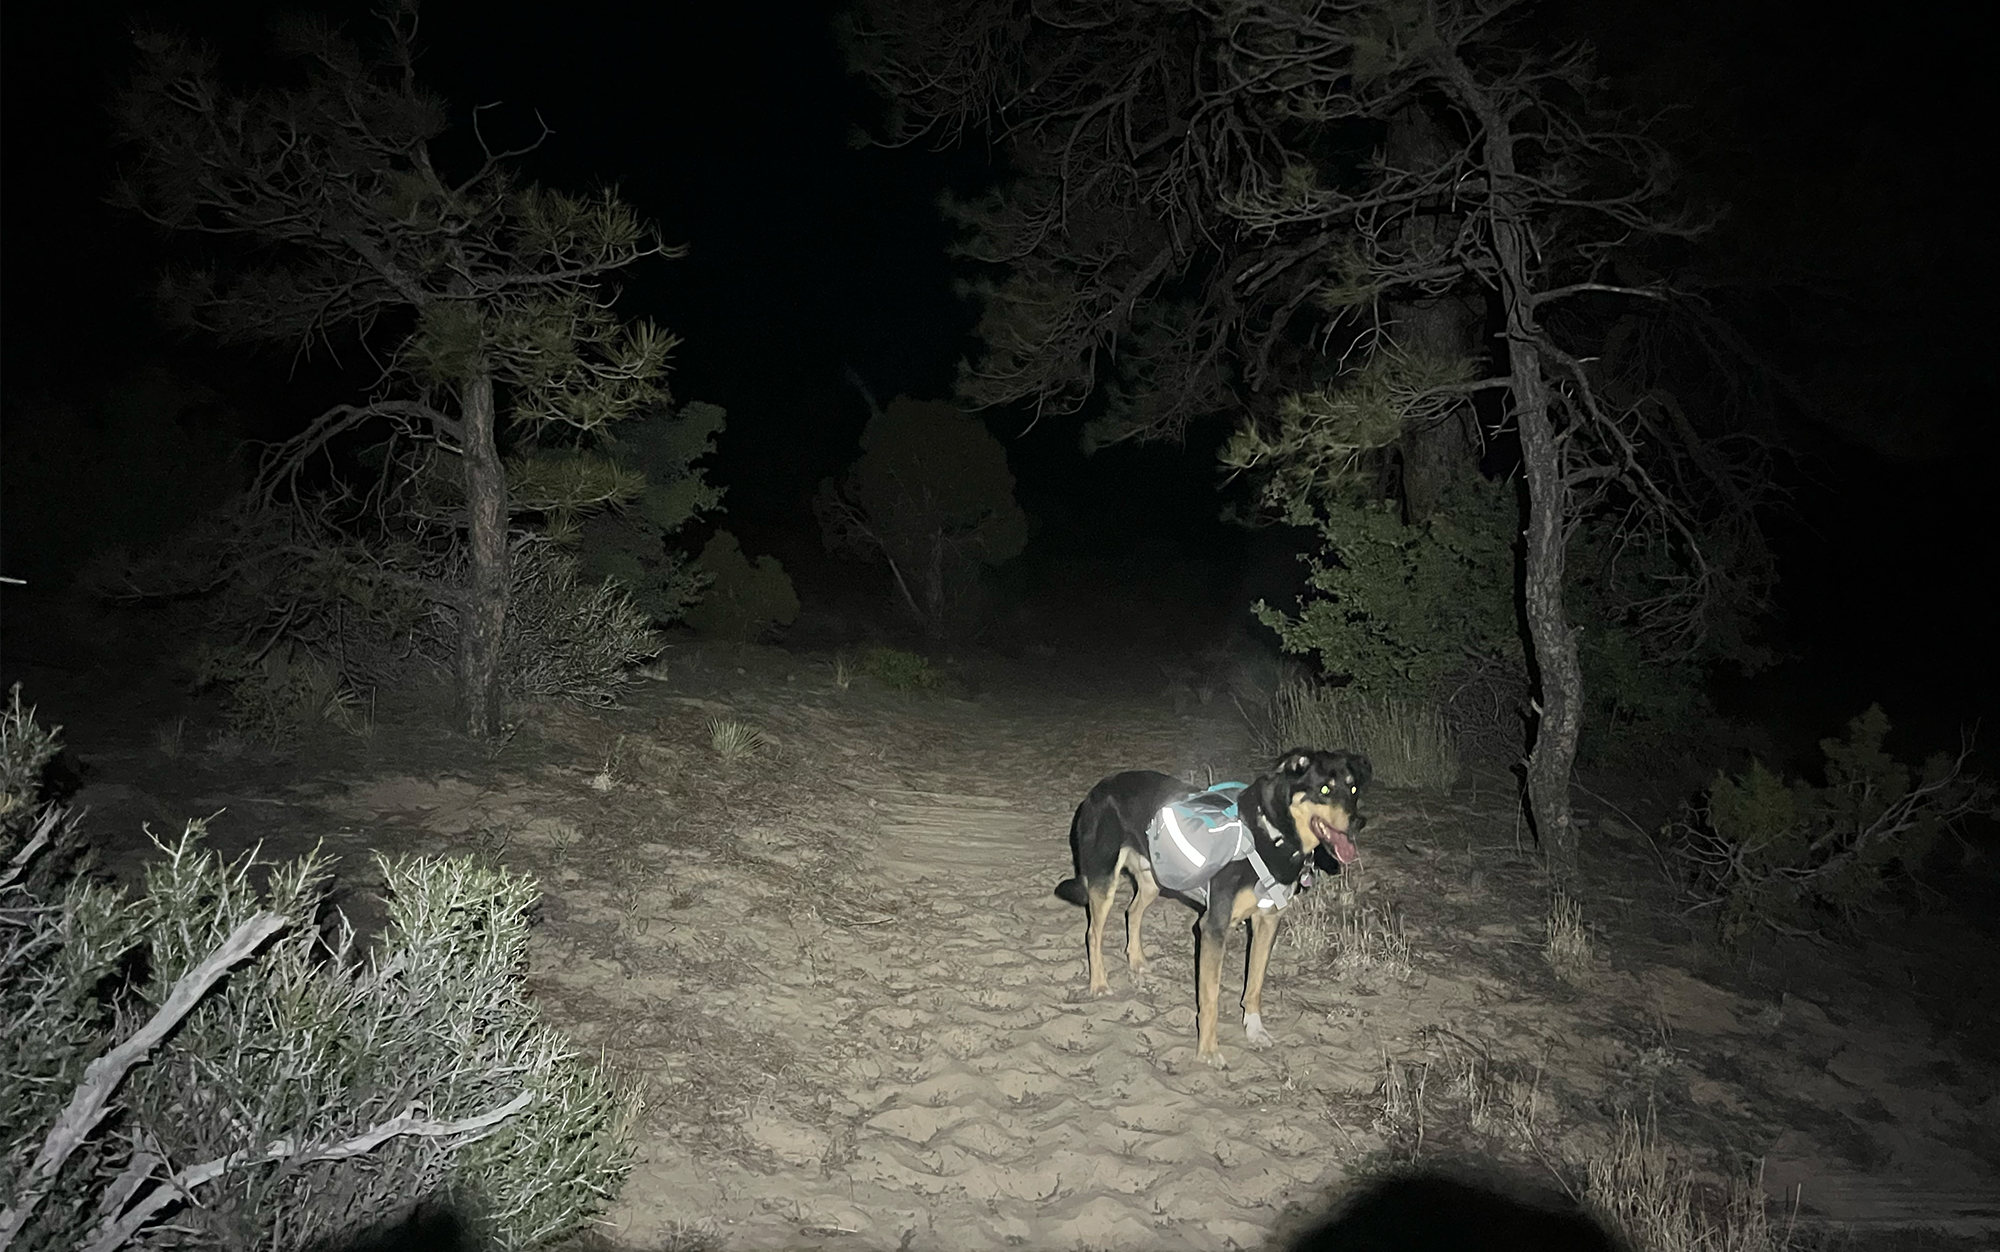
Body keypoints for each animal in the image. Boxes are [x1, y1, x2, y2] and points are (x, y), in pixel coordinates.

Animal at [1056, 744, 1368, 1056]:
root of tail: (1098, 788)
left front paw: (1254, 1029)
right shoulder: (1213, 927)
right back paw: (1099, 984)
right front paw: (1207, 1051)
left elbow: (1254, 985)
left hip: (1153, 880)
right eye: (1325, 789)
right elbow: (1210, 998)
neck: (1272, 833)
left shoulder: (1268, 921)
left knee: (1131, 912)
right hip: (1104, 880)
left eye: (1353, 788)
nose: (1359, 821)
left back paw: (1137, 961)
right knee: (1093, 933)